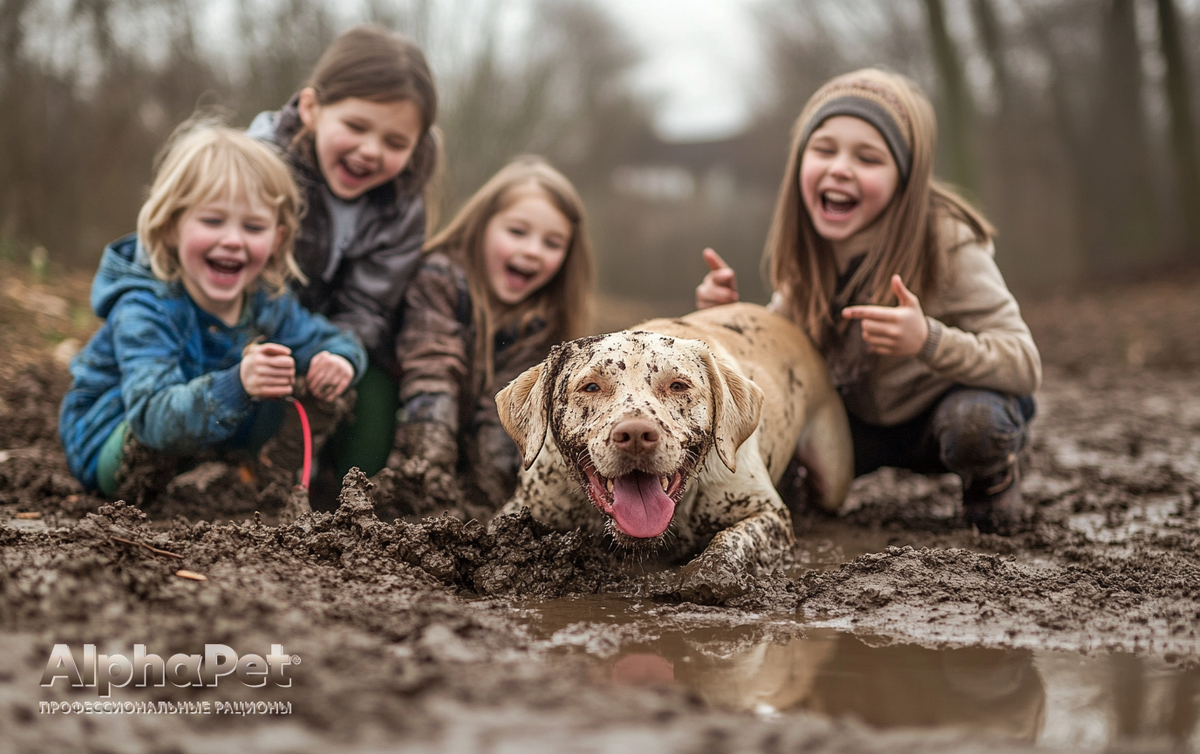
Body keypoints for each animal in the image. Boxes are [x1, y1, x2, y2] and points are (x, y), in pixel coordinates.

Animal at [494, 300, 854, 600]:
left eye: (678, 385)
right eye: (591, 386)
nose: (635, 434)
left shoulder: (769, 514)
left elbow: (734, 539)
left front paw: (707, 576)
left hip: (831, 472)